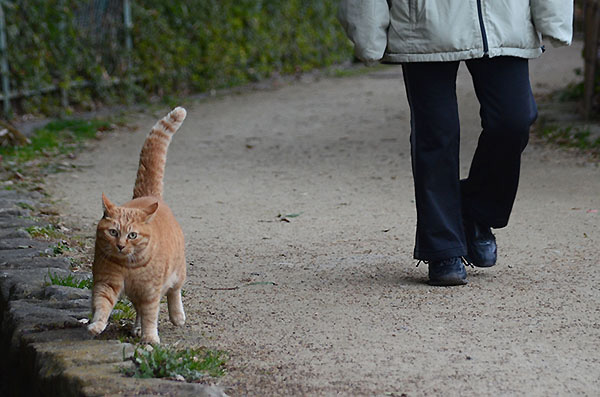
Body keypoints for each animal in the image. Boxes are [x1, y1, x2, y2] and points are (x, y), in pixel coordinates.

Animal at [88, 106, 186, 342]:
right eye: (113, 232)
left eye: (132, 235)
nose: (121, 245)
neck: (128, 267)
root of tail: (149, 196)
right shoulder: (106, 283)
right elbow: (102, 306)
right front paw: (96, 325)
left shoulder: (150, 292)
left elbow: (151, 315)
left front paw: (150, 339)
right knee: (139, 311)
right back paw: (137, 328)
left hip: (178, 271)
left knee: (175, 291)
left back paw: (177, 316)